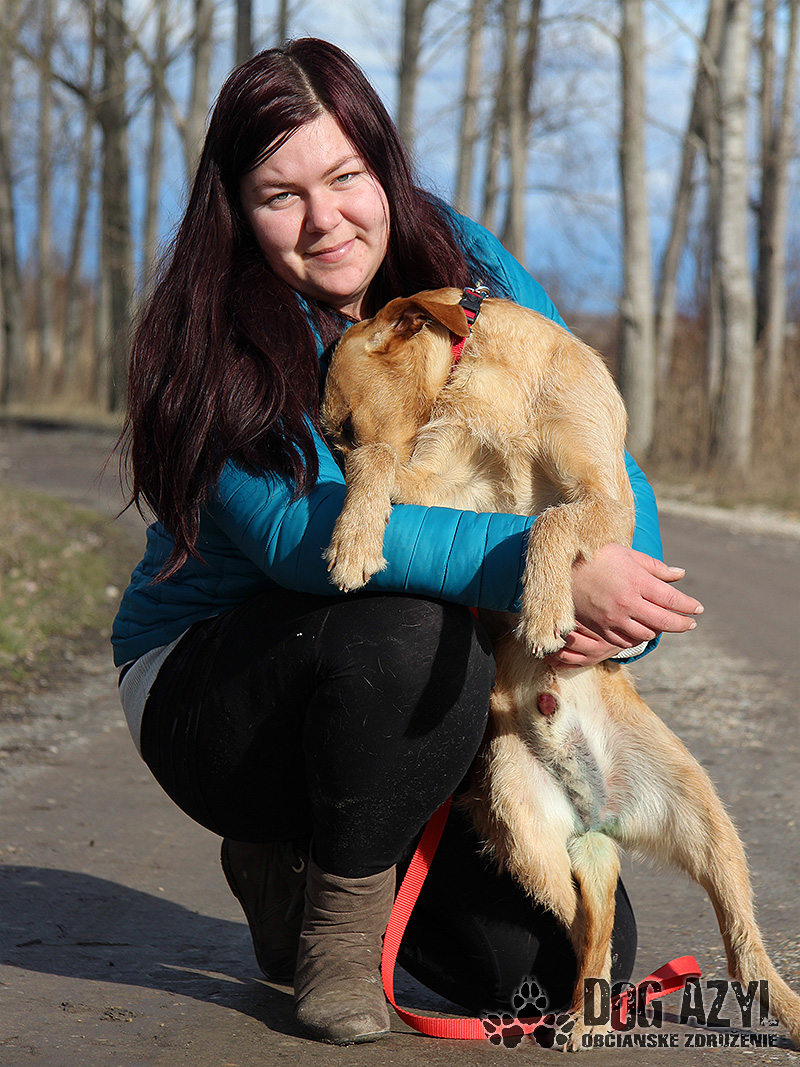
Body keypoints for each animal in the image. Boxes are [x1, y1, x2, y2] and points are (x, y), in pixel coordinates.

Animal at [320, 287, 800, 1050]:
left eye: (339, 425)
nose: (317, 472)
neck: (491, 378)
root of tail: (602, 812)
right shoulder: (439, 488)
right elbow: (384, 469)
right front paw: (353, 538)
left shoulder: (604, 498)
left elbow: (549, 522)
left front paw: (545, 603)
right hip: (531, 833)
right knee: (586, 927)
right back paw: (584, 1014)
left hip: (708, 825)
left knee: (742, 942)